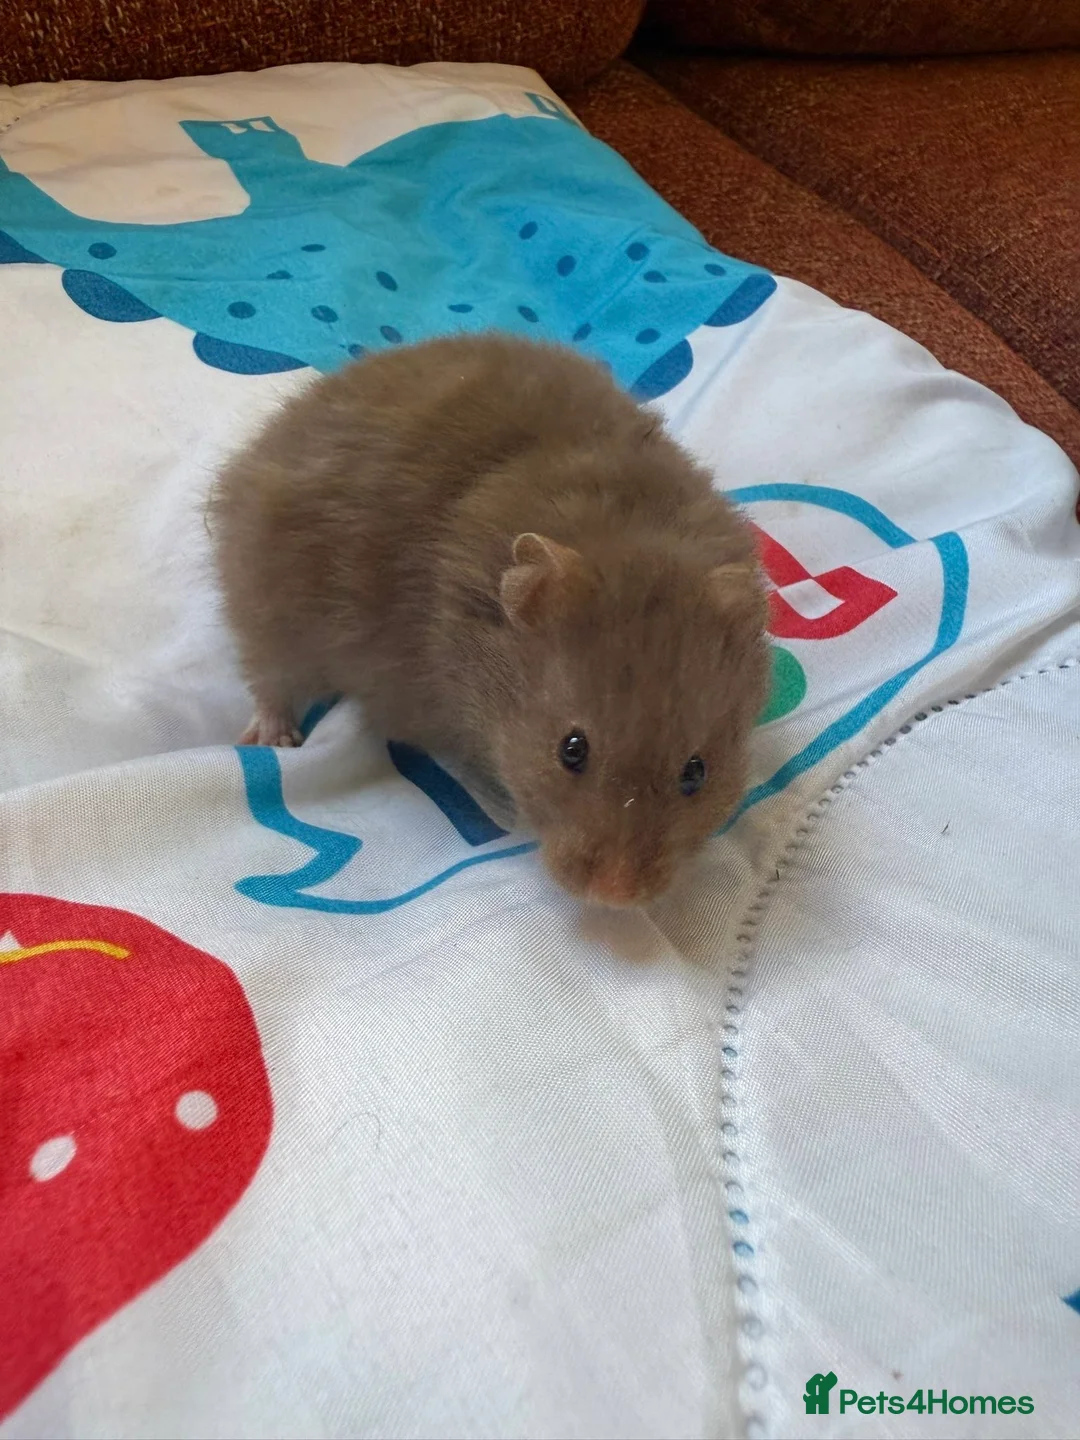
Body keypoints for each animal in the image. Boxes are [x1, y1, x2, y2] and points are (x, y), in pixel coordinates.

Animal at [210, 333, 769, 907]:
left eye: (696, 772)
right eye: (571, 750)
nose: (615, 896)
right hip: (266, 602)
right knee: (268, 677)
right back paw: (274, 741)